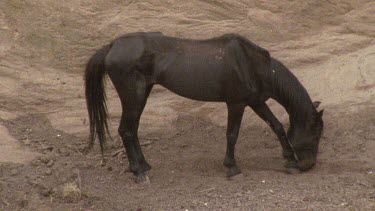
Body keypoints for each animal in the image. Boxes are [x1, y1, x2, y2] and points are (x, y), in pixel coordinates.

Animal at [84, 32, 324, 182]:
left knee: (132, 131)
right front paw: (232, 168)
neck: (250, 64)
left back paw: (144, 166)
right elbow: (232, 135)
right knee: (126, 130)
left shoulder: (256, 101)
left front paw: (290, 161)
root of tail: (112, 46)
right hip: (133, 98)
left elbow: (277, 127)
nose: (309, 165)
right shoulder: (236, 104)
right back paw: (138, 172)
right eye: (315, 133)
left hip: (141, 96)